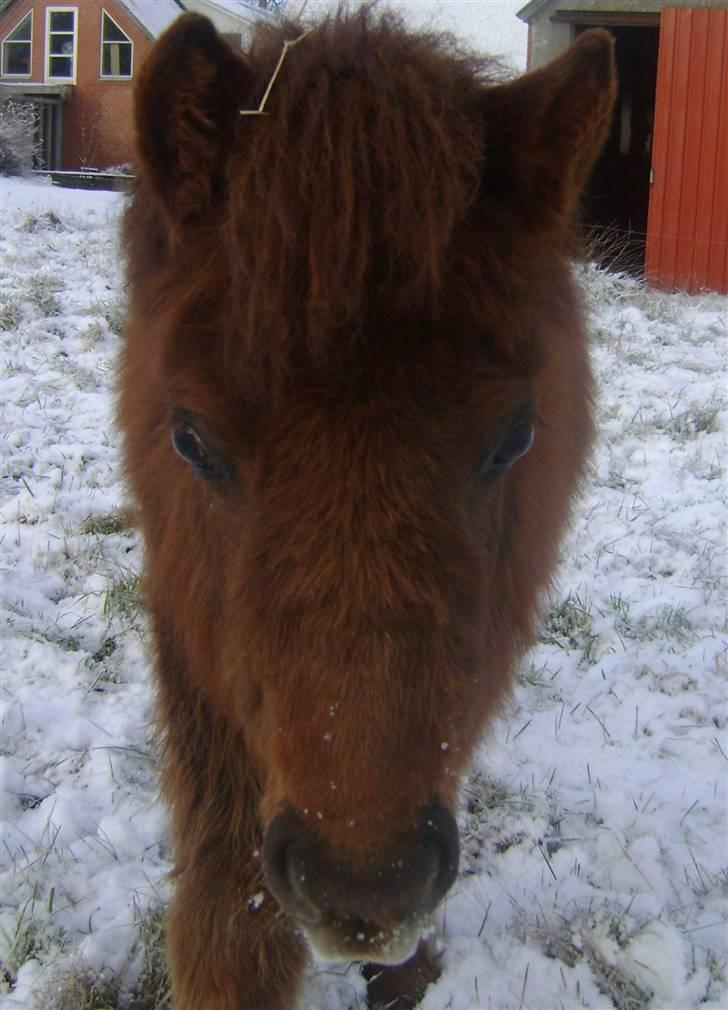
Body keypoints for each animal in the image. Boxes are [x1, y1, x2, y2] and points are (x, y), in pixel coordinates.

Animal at [117, 9, 613, 1010]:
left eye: (515, 440)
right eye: (189, 441)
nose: (366, 888)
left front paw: (408, 968)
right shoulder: (188, 626)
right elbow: (227, 896)